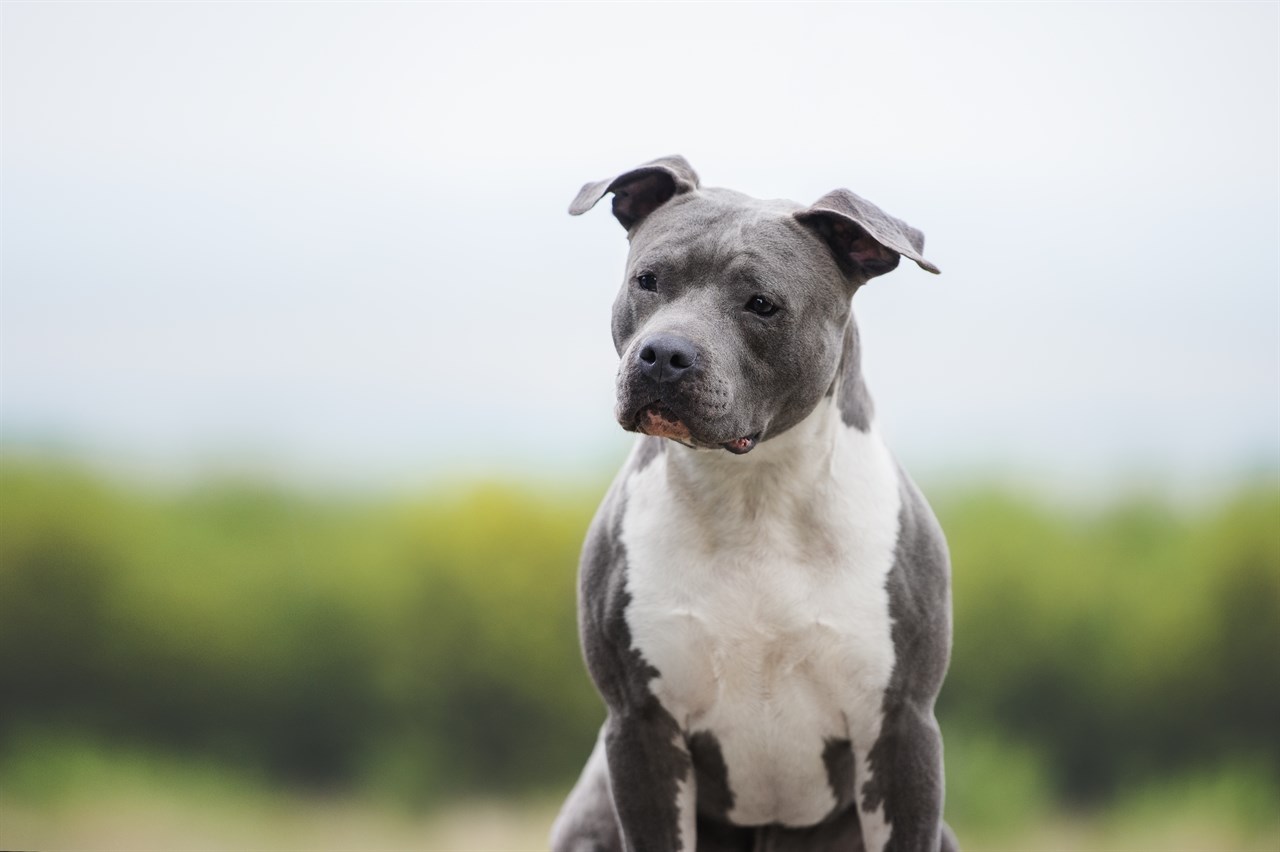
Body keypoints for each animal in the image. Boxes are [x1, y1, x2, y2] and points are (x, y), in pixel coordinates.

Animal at [552, 154, 962, 849]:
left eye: (762, 304)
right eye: (648, 280)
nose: (662, 354)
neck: (754, 492)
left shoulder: (902, 727)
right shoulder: (639, 727)